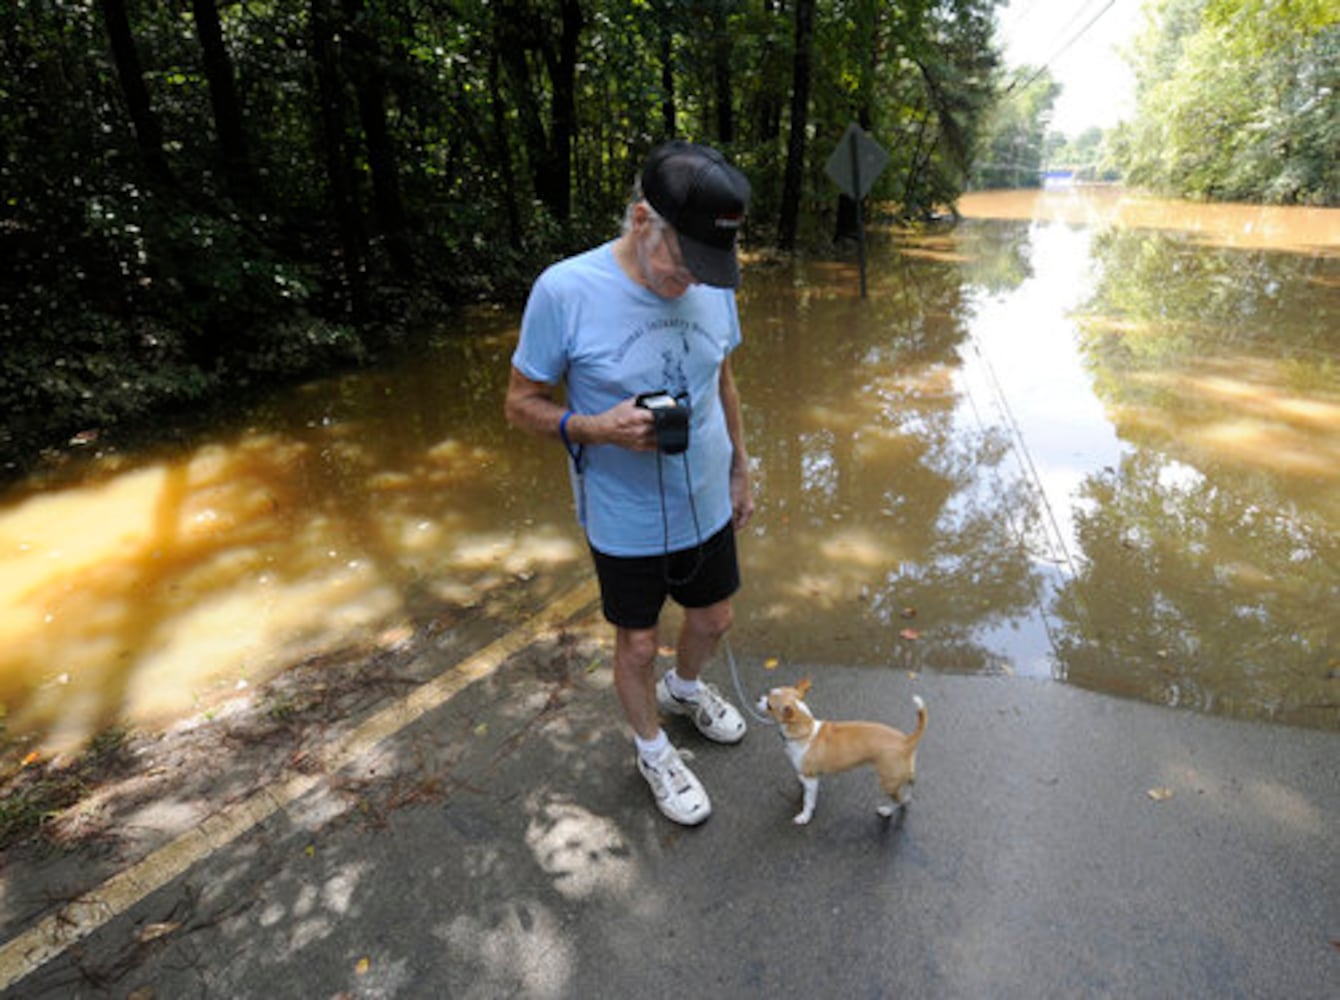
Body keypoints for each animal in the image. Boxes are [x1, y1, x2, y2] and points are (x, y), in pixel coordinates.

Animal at [755, 678, 932, 825]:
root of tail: (907, 740)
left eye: (769, 705)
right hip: (903, 775)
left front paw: (805, 816)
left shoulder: (812, 780)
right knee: (908, 790)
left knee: (898, 800)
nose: (758, 699)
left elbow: (808, 801)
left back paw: (887, 810)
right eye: (769, 692)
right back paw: (907, 799)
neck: (806, 730)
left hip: (888, 782)